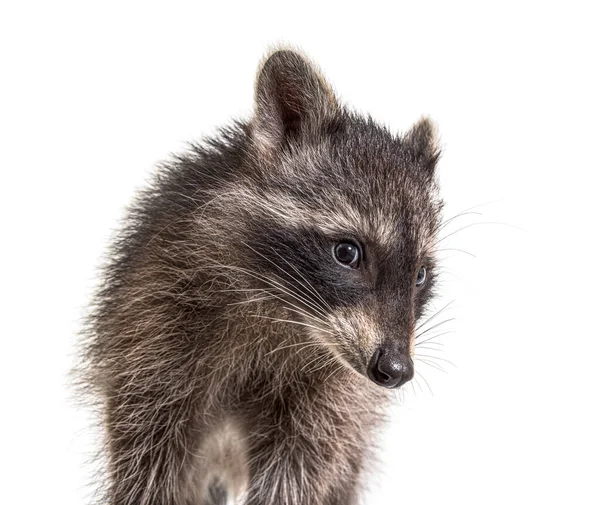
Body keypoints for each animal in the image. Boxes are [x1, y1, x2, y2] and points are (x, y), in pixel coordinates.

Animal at [77, 48, 442, 504]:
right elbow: (147, 463)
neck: (285, 312)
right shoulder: (152, 328)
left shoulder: (334, 401)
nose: (397, 369)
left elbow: (299, 469)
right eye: (347, 253)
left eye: (420, 275)